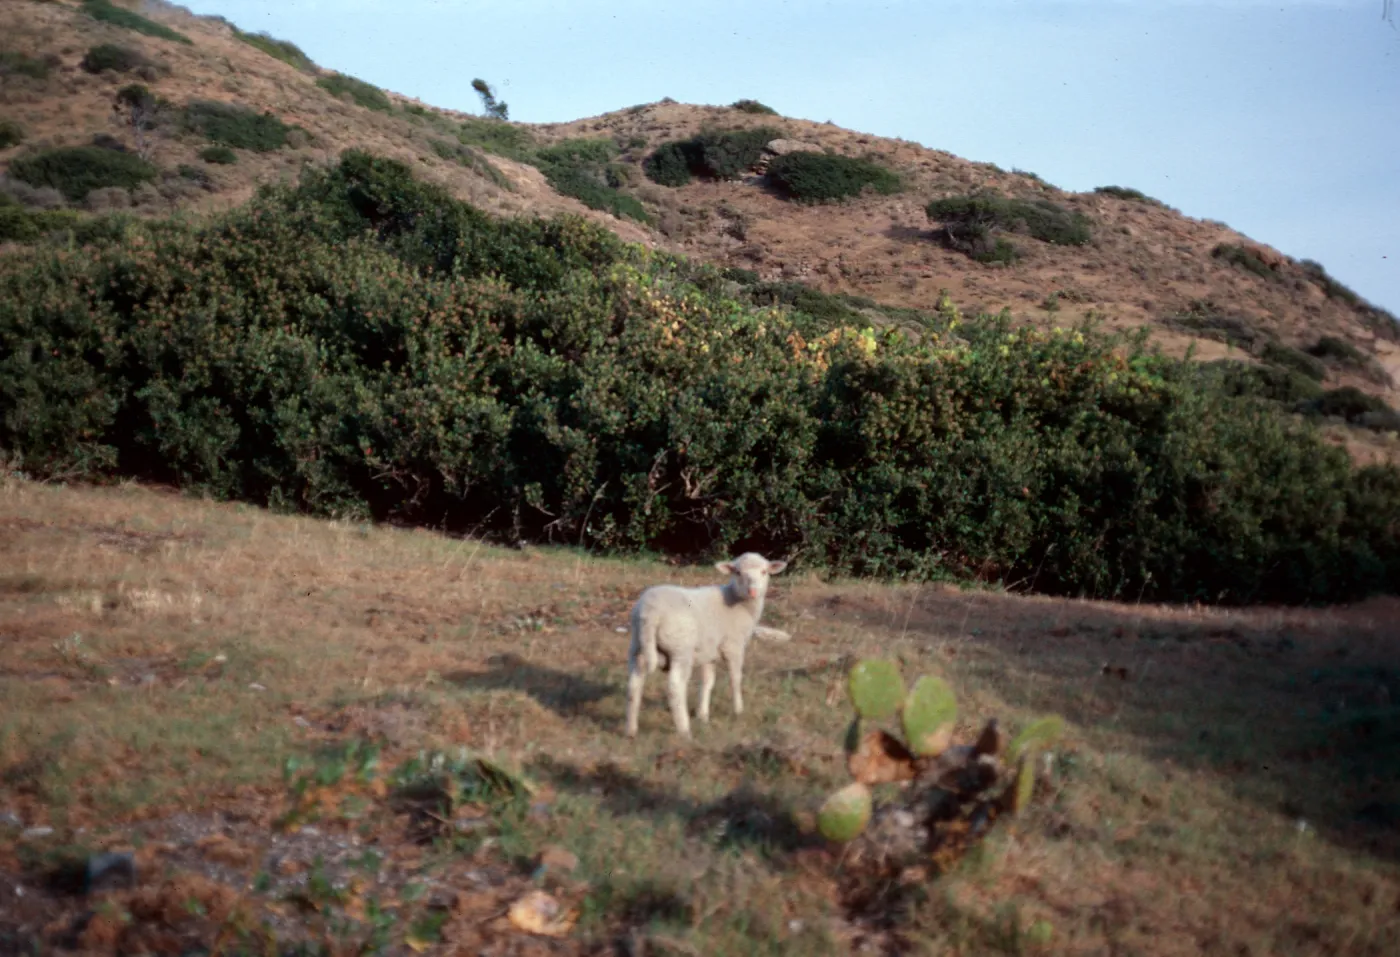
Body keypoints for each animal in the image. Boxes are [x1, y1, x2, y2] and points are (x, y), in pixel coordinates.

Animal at [625, 552, 788, 738]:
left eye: (764, 572)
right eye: (738, 572)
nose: (752, 591)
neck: (738, 602)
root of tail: (650, 612)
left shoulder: (709, 652)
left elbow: (708, 682)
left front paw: (703, 715)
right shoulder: (733, 645)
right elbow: (735, 679)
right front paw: (738, 710)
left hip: (638, 646)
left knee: (634, 685)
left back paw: (631, 730)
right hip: (680, 648)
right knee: (675, 687)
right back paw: (684, 730)